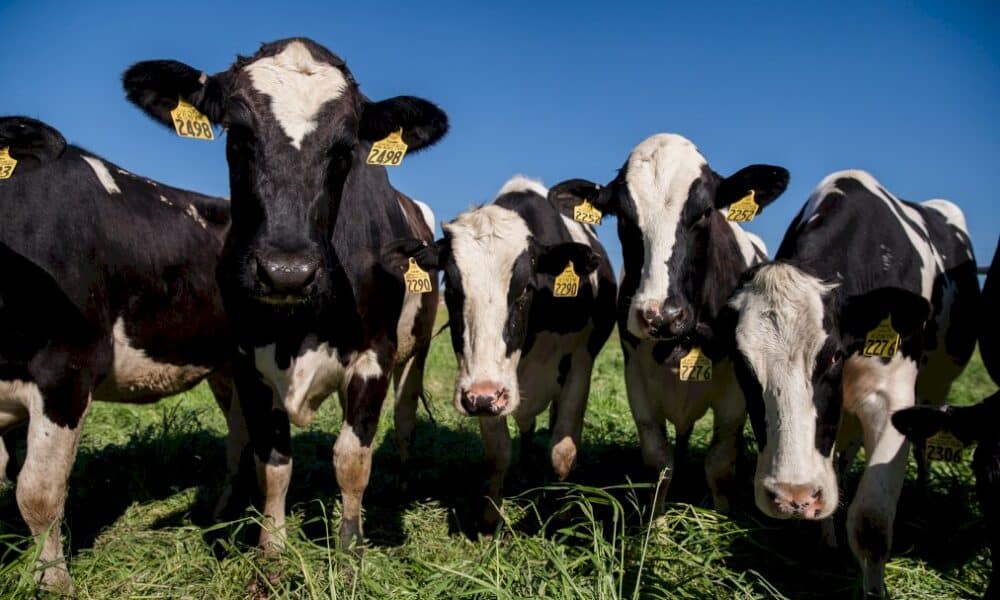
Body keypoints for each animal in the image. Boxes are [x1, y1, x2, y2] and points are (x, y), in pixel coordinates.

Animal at [122, 37, 447, 550]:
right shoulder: (247, 360)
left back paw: (400, 479)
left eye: (346, 148)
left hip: (415, 352)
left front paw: (349, 546)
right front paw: (270, 550)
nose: (286, 273)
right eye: (237, 133)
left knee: (404, 419)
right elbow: (271, 463)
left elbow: (352, 457)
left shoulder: (374, 355)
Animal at [402, 176, 616, 526]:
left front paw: (555, 509)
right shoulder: (483, 385)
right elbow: (499, 452)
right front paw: (491, 517)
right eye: (453, 289)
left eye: (526, 287)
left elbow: (562, 452)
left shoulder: (581, 365)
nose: (482, 396)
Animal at [545, 133, 789, 512]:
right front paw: (655, 523)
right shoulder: (636, 379)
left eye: (705, 212)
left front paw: (720, 516)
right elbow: (659, 461)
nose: (661, 315)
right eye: (624, 218)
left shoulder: (735, 392)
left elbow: (720, 464)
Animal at [726, 170, 979, 597]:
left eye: (831, 356)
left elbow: (871, 522)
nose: (793, 496)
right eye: (743, 364)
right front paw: (825, 536)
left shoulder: (892, 399)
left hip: (936, 385)